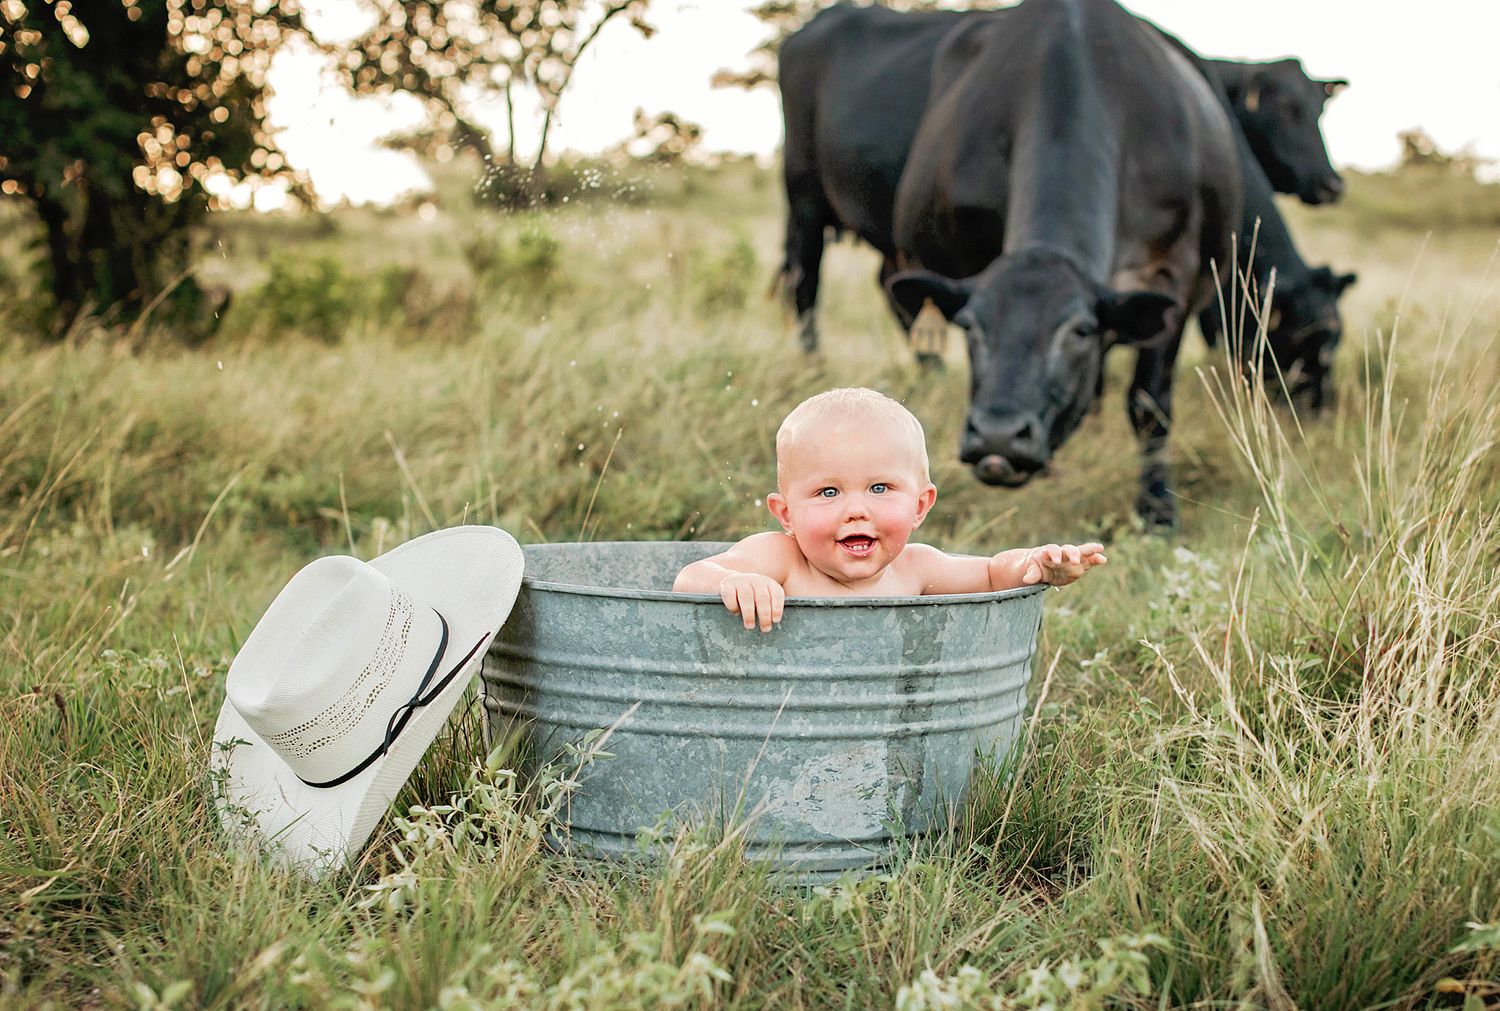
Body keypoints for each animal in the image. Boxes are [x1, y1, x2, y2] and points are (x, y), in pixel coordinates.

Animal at [887, 0, 1242, 529]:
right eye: (969, 326)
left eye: (1079, 331)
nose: (997, 435)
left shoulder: (1172, 276)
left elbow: (1149, 403)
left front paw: (1158, 508)